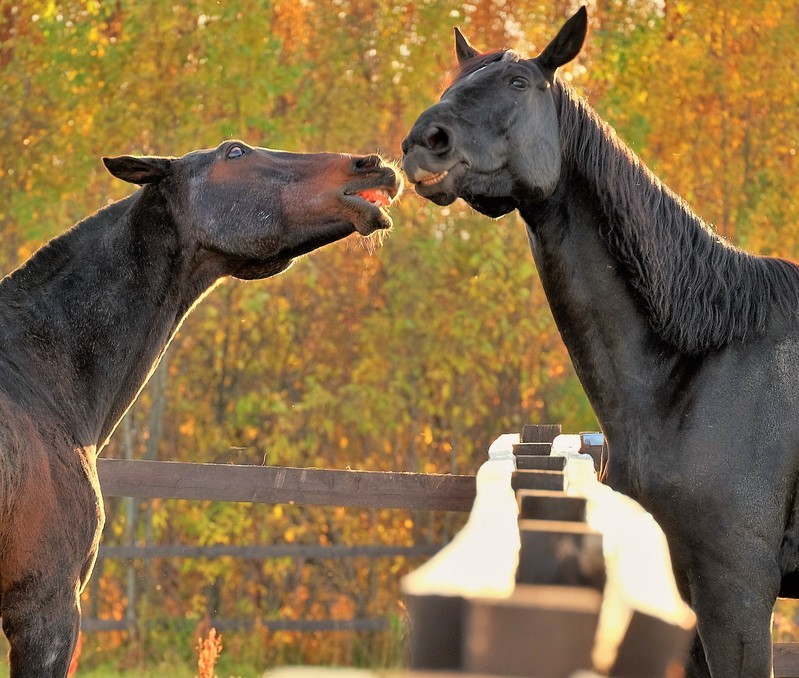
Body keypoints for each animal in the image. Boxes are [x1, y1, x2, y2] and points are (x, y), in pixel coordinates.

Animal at [404, 7, 799, 676]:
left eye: (518, 83)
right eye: (458, 79)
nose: (424, 141)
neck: (702, 368)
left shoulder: (738, 593)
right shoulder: (686, 586)